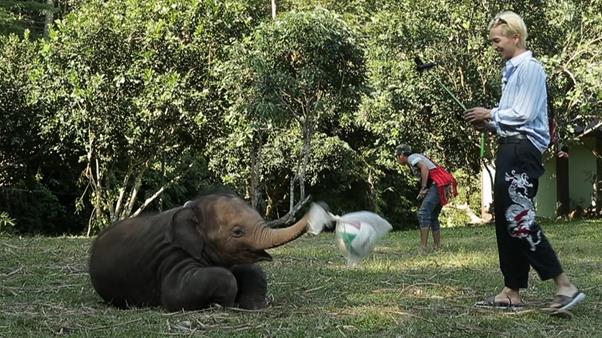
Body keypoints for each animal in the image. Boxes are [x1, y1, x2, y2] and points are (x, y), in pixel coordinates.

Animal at [88, 193, 328, 312]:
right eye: (238, 231)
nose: (322, 209)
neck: (190, 210)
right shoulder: (172, 256)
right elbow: (176, 295)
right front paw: (223, 305)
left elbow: (252, 270)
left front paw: (258, 305)